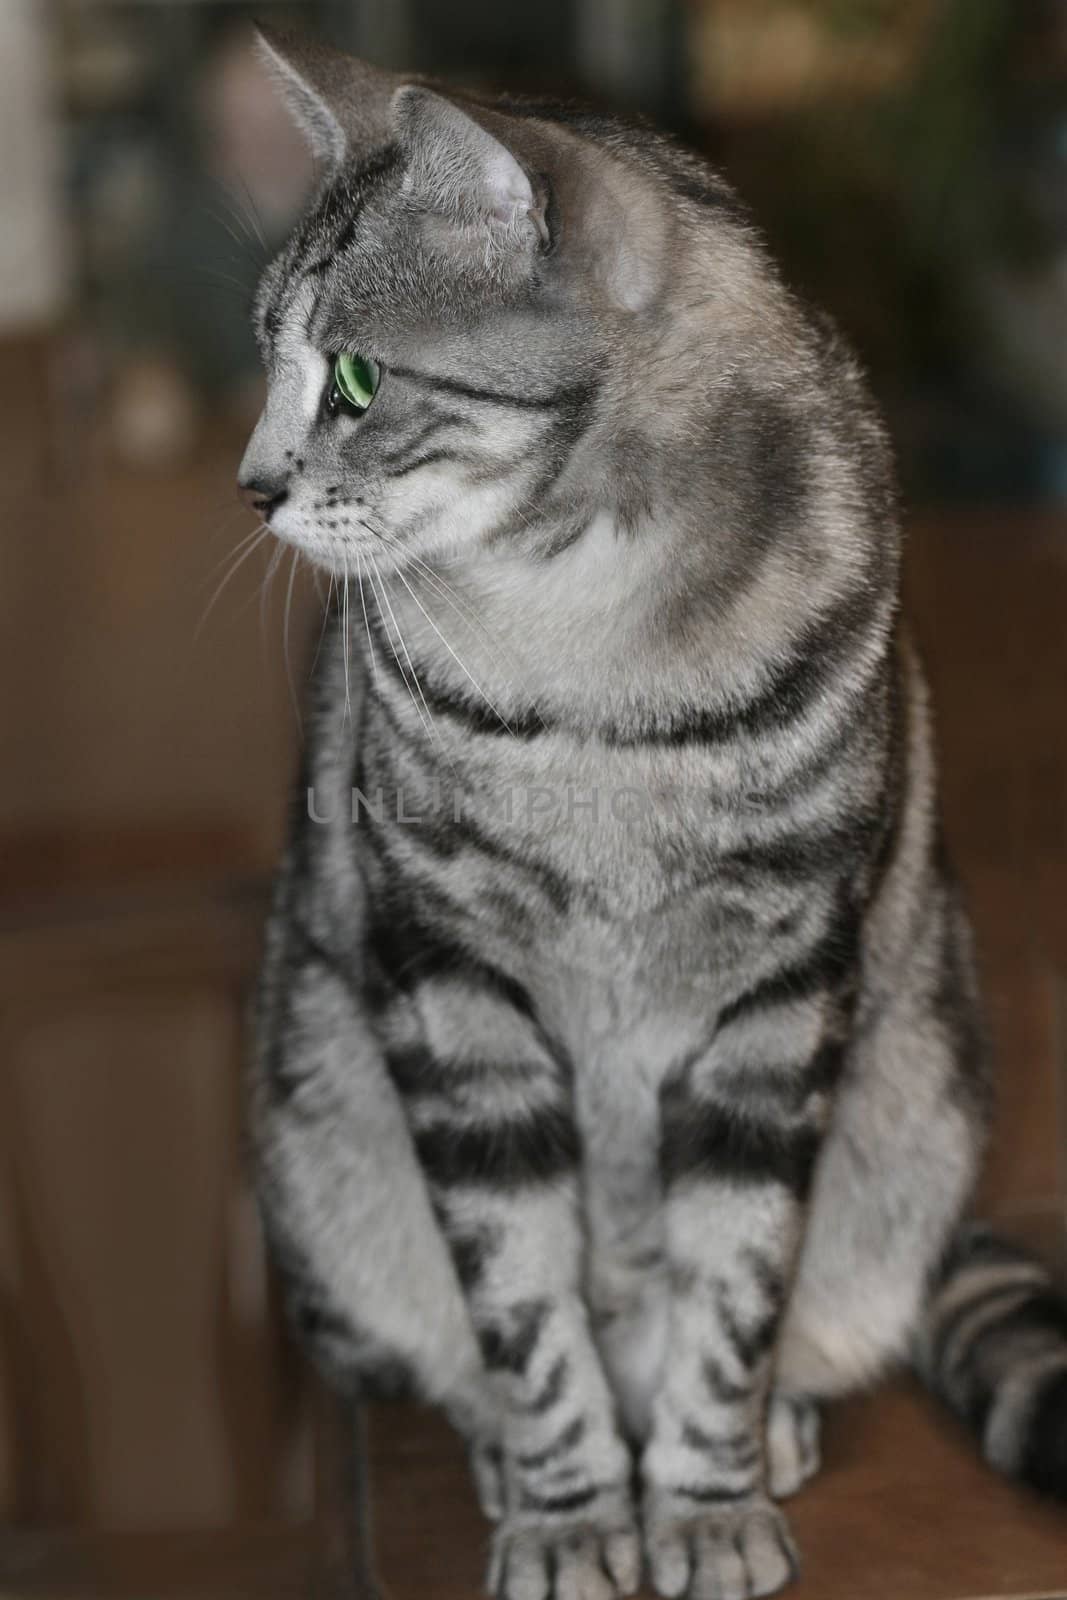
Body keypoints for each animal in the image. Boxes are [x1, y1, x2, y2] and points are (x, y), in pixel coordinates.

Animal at [241, 28, 1067, 1600]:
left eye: (360, 377)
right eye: (265, 357)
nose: (251, 485)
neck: (585, 644)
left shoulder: (781, 990)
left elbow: (731, 1287)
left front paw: (698, 1503)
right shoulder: (450, 986)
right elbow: (517, 1299)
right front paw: (571, 1517)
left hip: (913, 1102)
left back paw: (771, 1428)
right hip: (322, 1139)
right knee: (457, 1345)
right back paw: (510, 1458)